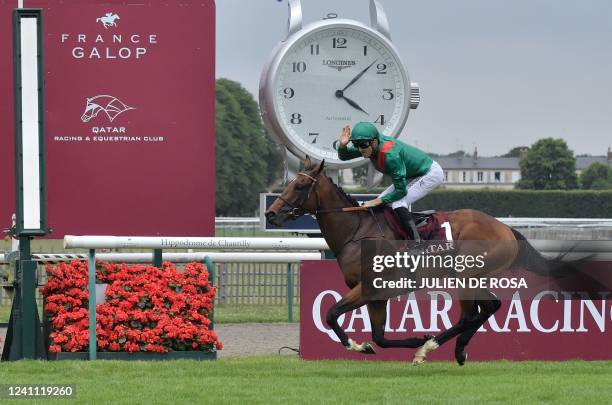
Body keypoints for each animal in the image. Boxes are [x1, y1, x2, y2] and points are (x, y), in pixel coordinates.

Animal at [266, 156, 576, 364]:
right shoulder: (377, 295)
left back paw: (430, 349)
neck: (357, 231)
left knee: (474, 312)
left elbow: (331, 313)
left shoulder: (368, 287)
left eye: (300, 185)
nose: (271, 214)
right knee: (484, 309)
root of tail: (506, 228)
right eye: (288, 182)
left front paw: (358, 345)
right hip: (470, 277)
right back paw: (456, 349)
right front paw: (379, 344)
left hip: (465, 276)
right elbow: (379, 337)